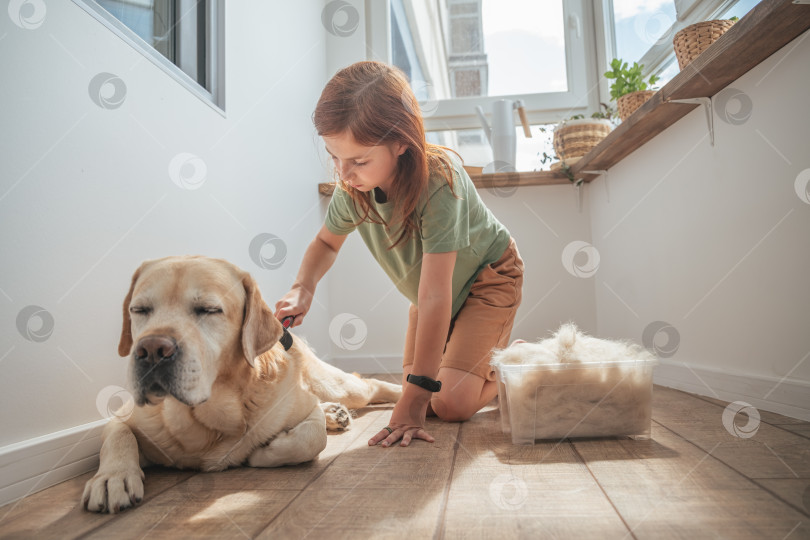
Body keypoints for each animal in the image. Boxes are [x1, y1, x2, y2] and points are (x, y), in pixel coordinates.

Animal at [81, 255, 398, 512]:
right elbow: (118, 435)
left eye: (208, 309)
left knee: (369, 384)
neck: (206, 421)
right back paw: (336, 412)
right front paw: (112, 478)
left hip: (337, 385)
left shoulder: (302, 407)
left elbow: (311, 438)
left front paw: (262, 453)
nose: (151, 351)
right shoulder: (125, 416)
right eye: (139, 309)